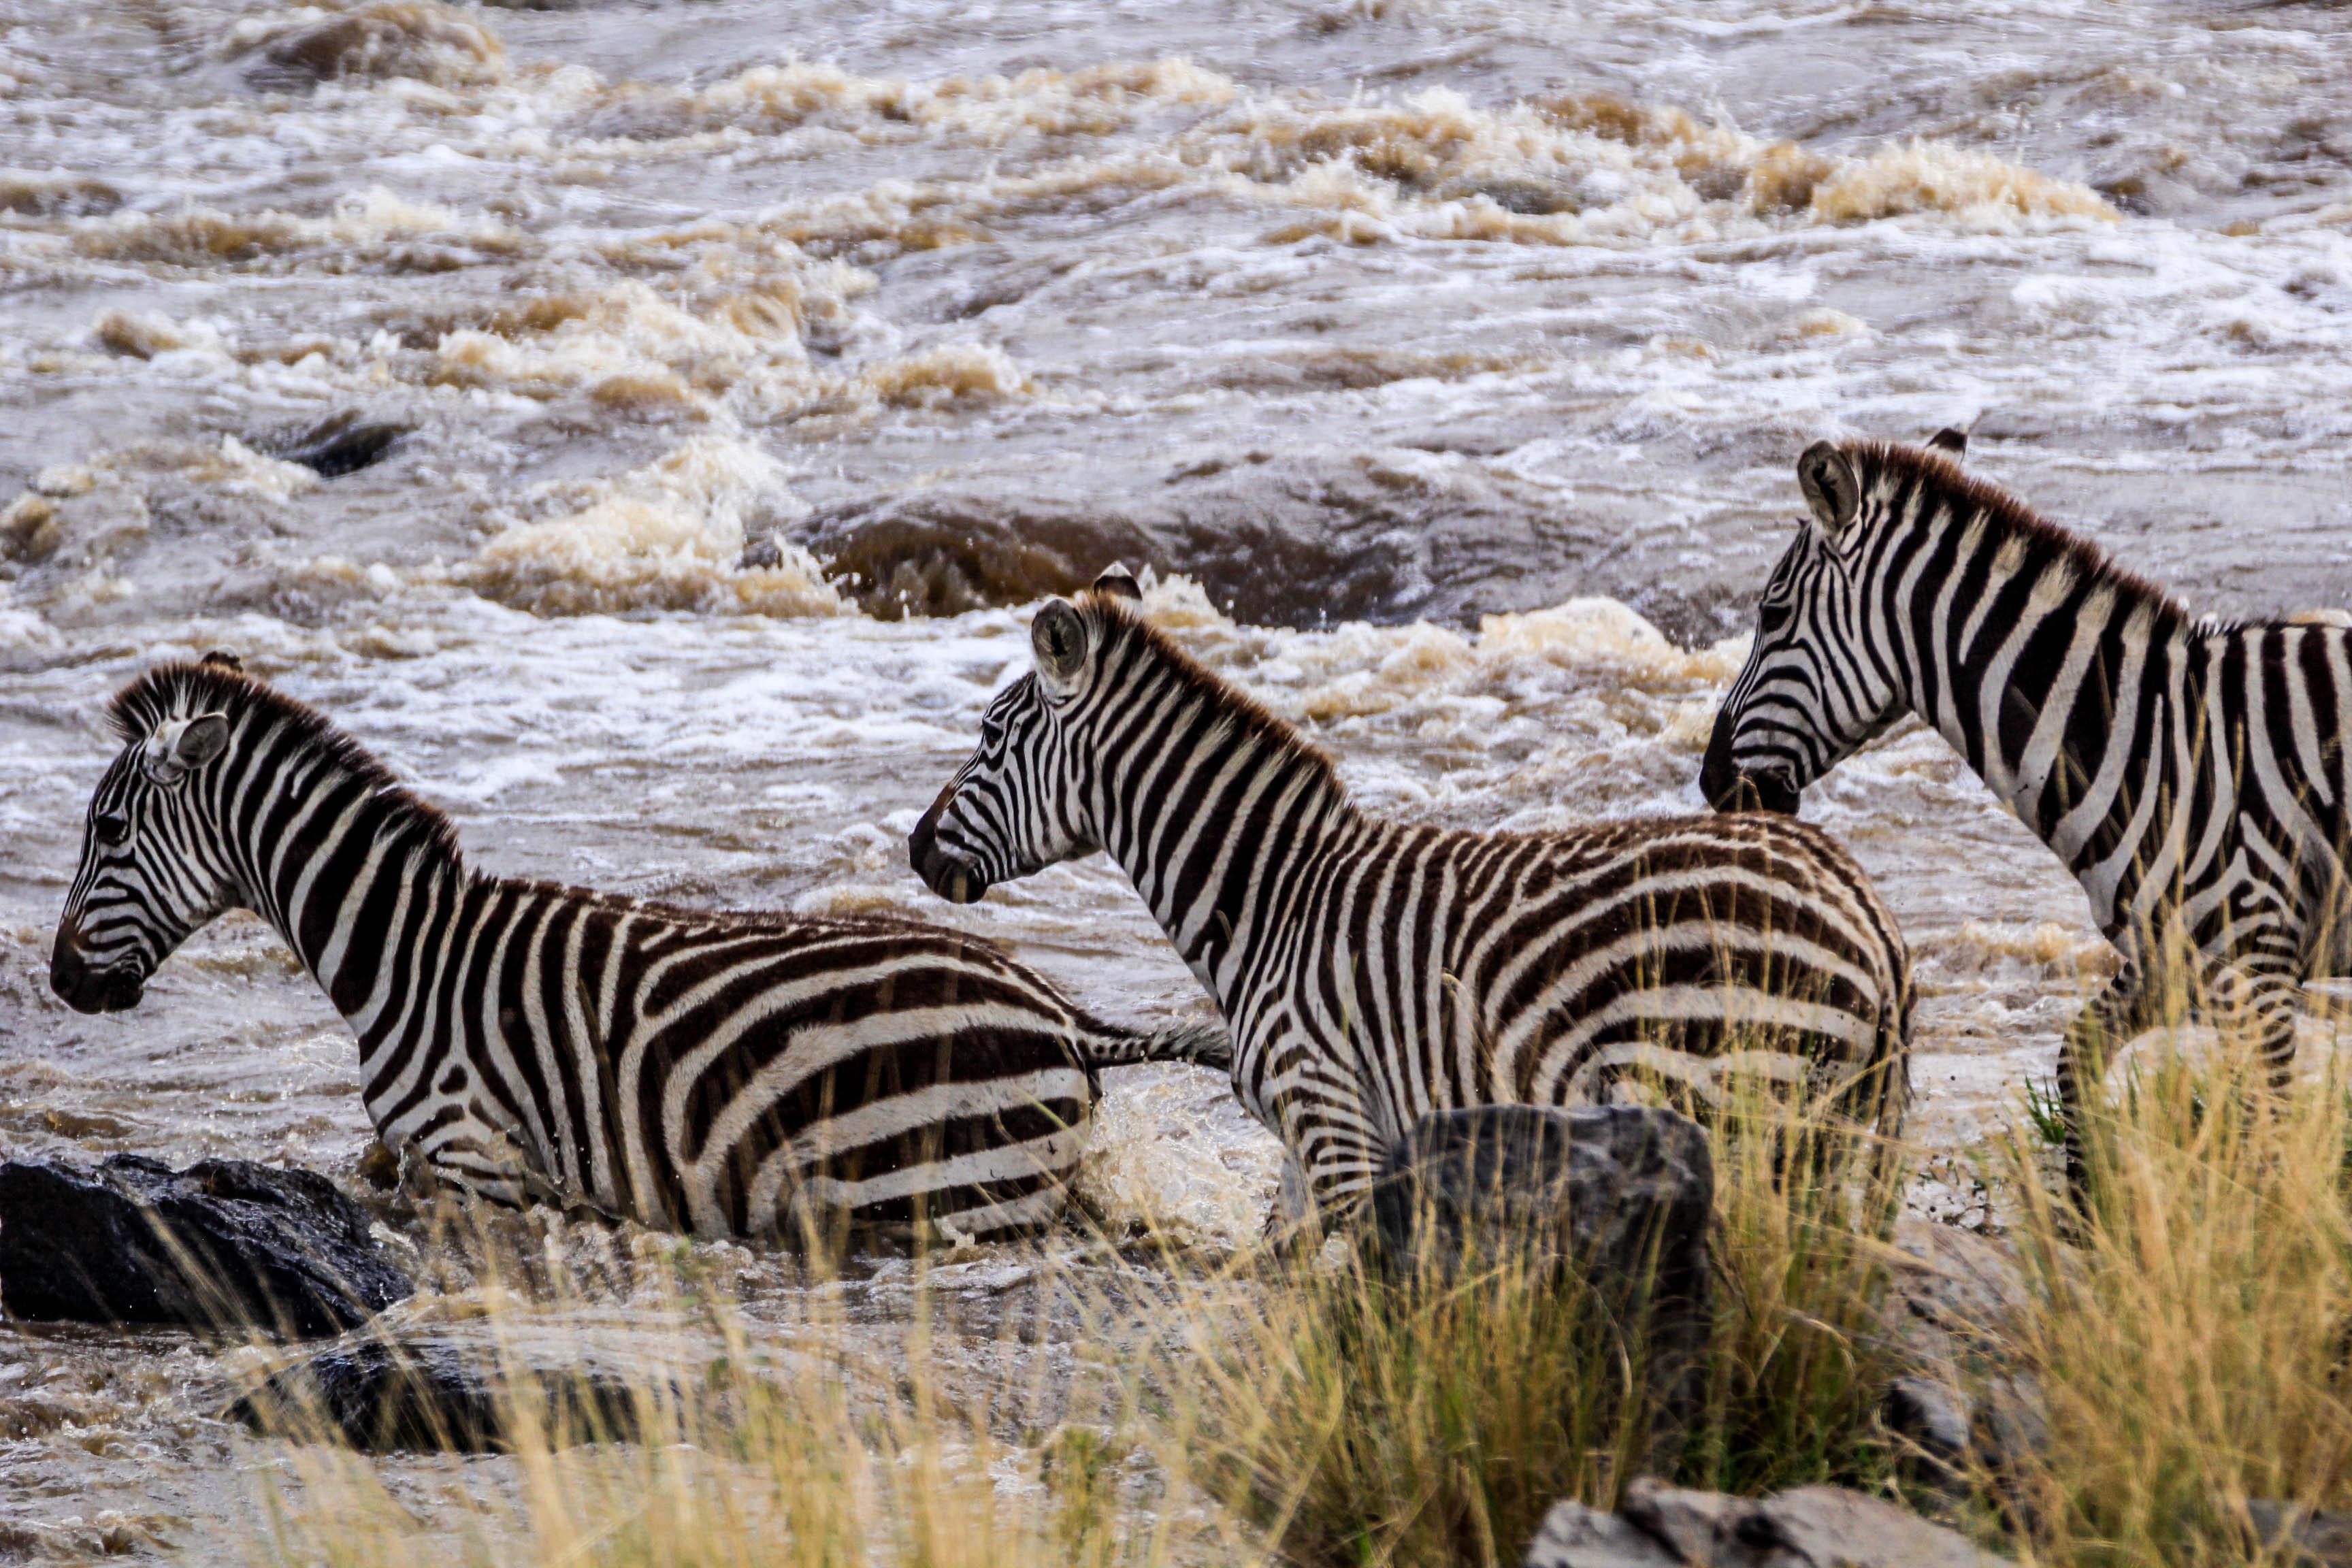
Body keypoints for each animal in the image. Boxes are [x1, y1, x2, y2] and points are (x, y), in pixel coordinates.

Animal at [55, 658, 1232, 1241]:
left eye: (106, 832)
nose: (62, 979)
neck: (405, 956)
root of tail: (1062, 1014)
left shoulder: (480, 1166)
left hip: (928, 1195)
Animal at [898, 571, 1910, 1232]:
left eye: (988, 737)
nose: (913, 847)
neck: (1269, 902)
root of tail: (1866, 913)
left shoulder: (1332, 1117)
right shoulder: (1312, 1144)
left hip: (1731, 1103)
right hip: (1830, 1136)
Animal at [1703, 430, 2352, 1189]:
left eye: (1772, 617)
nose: (1711, 782)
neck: (2149, 742)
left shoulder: (2258, 967)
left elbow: (2268, 1152)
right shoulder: (2167, 959)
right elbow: (2074, 1062)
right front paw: (2091, 1198)